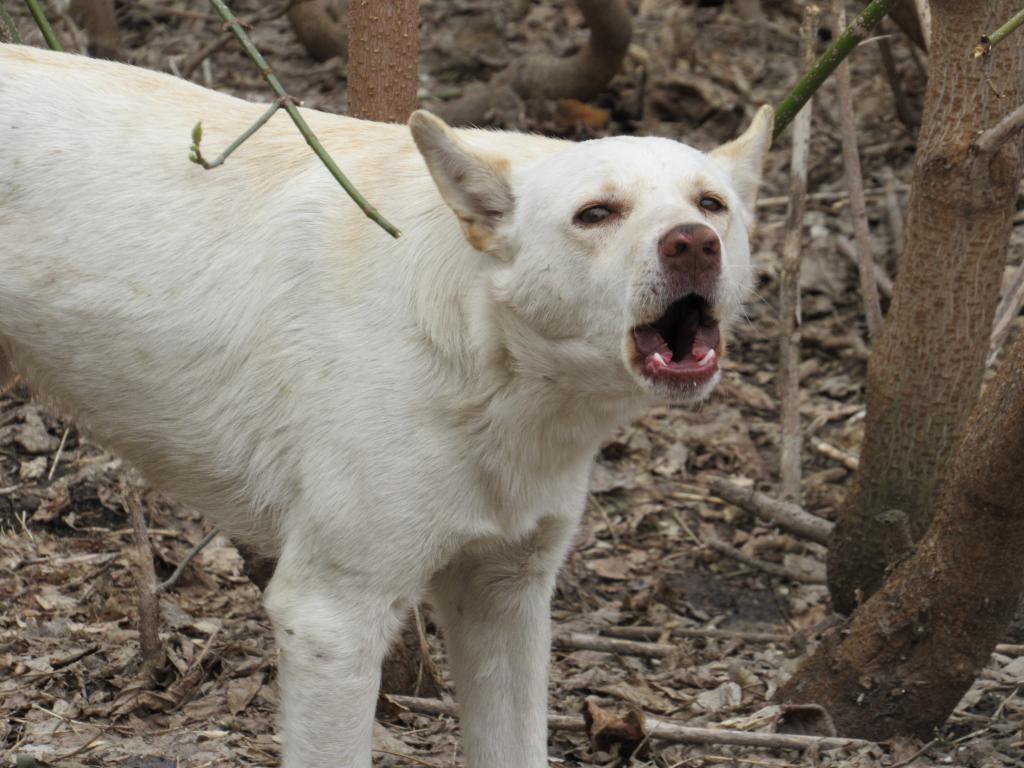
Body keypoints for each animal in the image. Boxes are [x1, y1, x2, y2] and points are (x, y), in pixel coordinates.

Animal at [0, 46, 770, 768]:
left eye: (710, 205)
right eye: (596, 215)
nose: (692, 245)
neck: (486, 363)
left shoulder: (507, 597)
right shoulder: (331, 619)